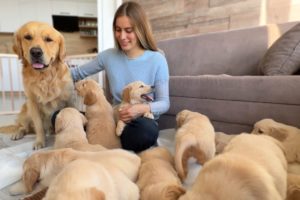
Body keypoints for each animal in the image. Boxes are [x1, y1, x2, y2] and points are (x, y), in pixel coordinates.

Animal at [0, 22, 76, 150]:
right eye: (27, 37)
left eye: (49, 39)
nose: (36, 52)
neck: (44, 77)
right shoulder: (33, 103)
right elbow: (39, 126)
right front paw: (40, 142)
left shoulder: (68, 100)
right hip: (26, 111)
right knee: (23, 126)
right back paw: (17, 133)